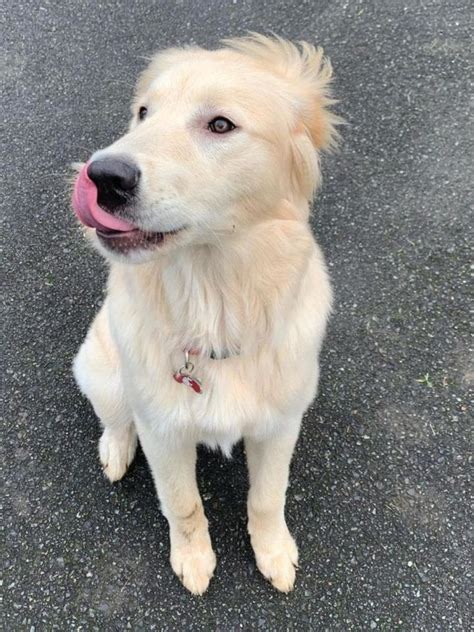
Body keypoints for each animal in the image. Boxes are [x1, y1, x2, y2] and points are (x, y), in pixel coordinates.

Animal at [71, 34, 340, 596]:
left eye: (220, 125)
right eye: (143, 113)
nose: (101, 175)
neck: (214, 301)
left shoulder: (280, 424)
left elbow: (267, 497)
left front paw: (273, 552)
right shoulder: (164, 431)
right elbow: (184, 504)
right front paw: (194, 560)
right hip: (100, 369)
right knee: (115, 418)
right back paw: (115, 450)